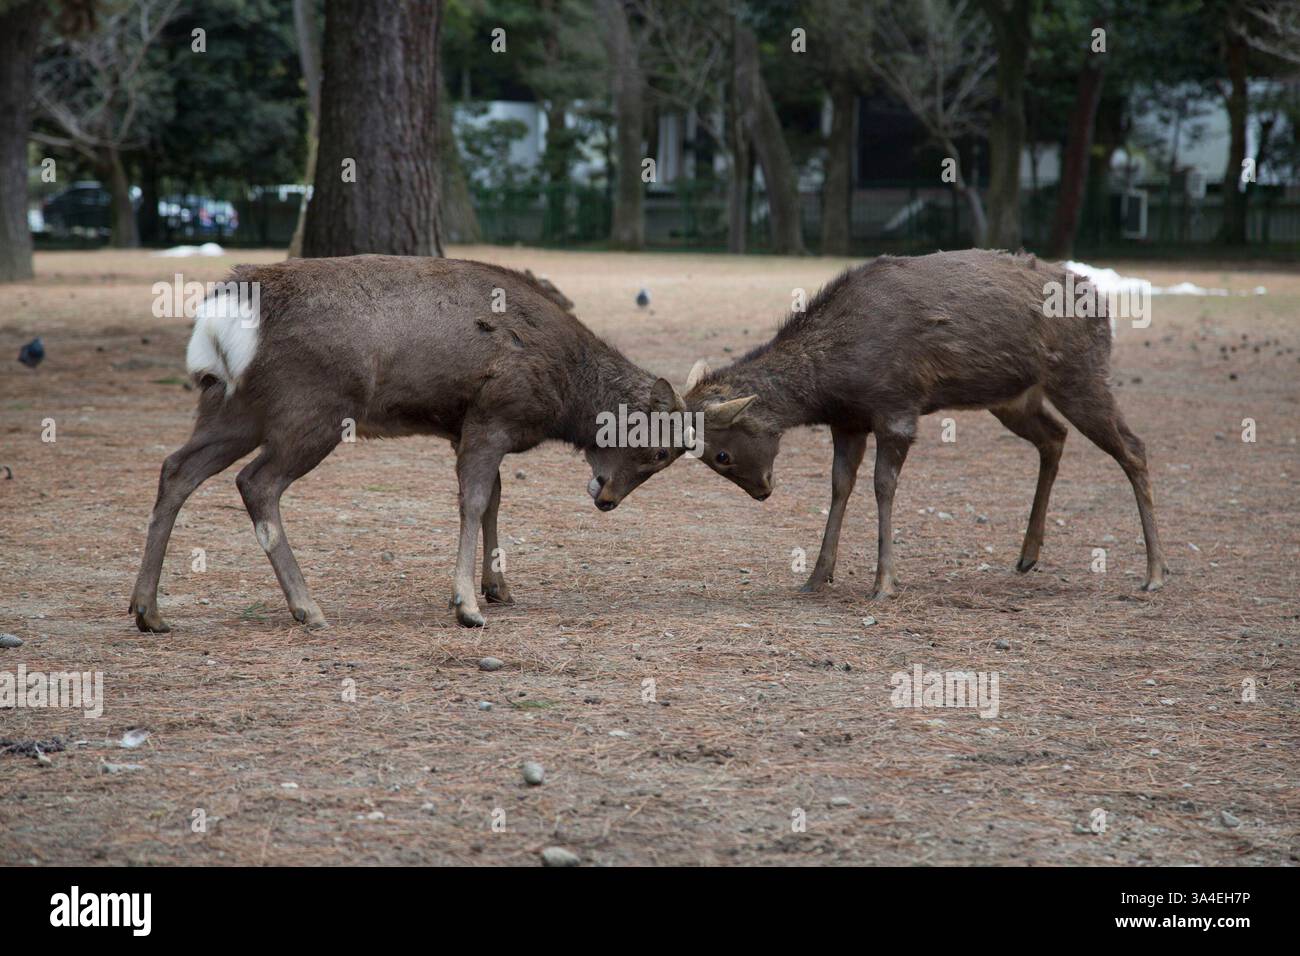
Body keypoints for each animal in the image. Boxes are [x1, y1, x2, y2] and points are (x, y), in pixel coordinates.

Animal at [129, 255, 688, 632]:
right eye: (659, 451)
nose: (607, 499)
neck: (565, 391)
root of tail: (224, 313)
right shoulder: (492, 416)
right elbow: (475, 501)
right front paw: (467, 606)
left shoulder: (463, 429)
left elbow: (495, 500)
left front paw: (498, 588)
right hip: (314, 408)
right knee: (256, 482)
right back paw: (308, 607)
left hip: (229, 407)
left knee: (176, 468)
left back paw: (147, 610)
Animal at [681, 248, 1168, 600]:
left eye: (721, 455)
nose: (763, 491)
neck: (830, 384)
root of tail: (1101, 302)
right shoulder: (849, 422)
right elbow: (840, 486)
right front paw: (817, 577)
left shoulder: (897, 408)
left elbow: (883, 486)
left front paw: (884, 584)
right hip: (1013, 398)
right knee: (1054, 436)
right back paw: (1028, 556)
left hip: (1081, 374)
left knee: (1134, 447)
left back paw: (1155, 572)